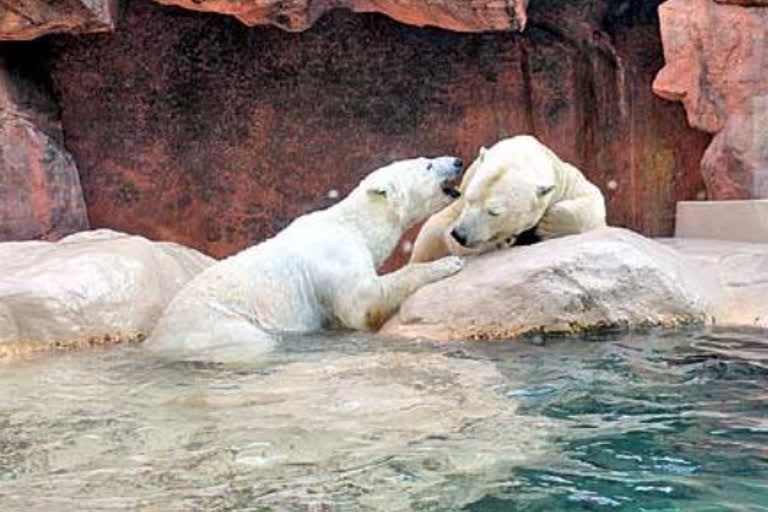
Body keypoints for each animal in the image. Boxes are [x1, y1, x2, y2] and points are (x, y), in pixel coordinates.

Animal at [146, 156, 464, 360]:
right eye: (427, 164)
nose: (458, 161)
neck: (352, 225)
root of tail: (155, 339)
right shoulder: (336, 259)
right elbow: (362, 302)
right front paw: (447, 263)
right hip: (217, 327)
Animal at [412, 135, 608, 264]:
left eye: (493, 212)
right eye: (469, 198)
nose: (460, 235)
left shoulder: (562, 178)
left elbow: (592, 196)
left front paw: (547, 225)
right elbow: (440, 229)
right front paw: (501, 241)